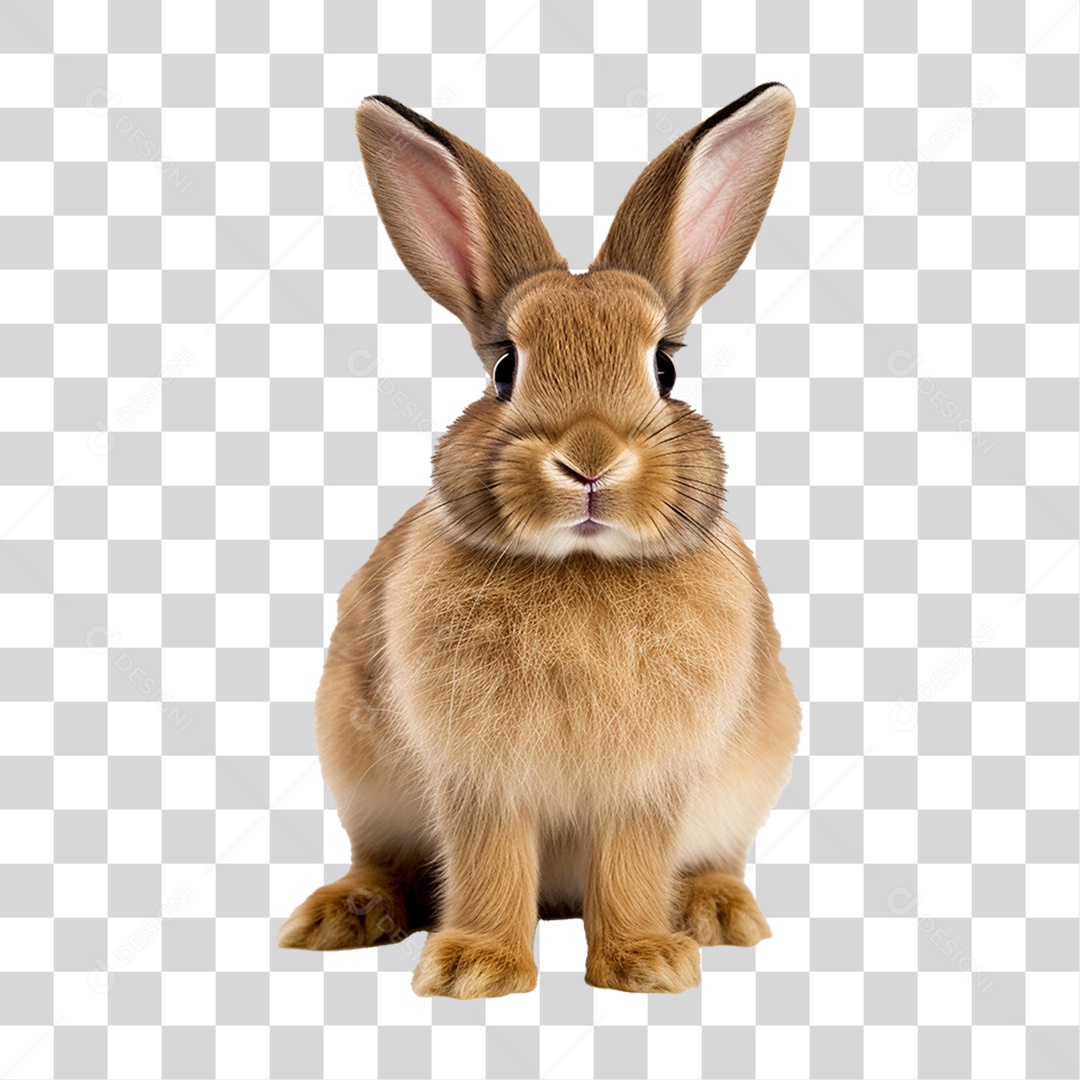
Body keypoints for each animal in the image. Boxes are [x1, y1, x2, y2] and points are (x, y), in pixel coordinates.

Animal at [277, 84, 802, 998]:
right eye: (503, 371)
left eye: (664, 368)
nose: (588, 461)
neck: (582, 564)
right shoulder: (478, 776)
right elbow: (489, 862)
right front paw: (473, 970)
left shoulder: (649, 783)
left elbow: (631, 865)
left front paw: (646, 962)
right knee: (386, 862)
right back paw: (343, 914)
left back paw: (717, 914)